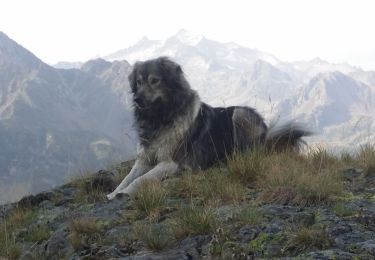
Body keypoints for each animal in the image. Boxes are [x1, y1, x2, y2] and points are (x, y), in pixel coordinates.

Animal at [106, 57, 312, 199]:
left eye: (154, 80)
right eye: (138, 82)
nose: (137, 99)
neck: (160, 119)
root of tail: (266, 132)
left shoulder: (171, 162)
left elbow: (142, 178)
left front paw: (125, 193)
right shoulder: (144, 158)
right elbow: (128, 177)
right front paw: (113, 193)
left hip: (239, 115)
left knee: (248, 153)